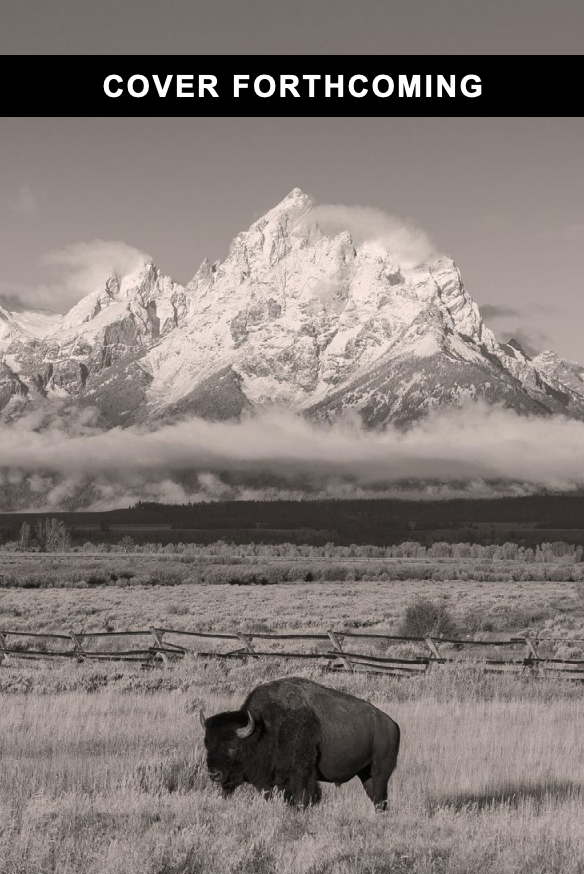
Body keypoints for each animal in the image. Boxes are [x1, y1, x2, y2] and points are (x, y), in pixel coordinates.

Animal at [199, 676, 400, 809]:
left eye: (232, 747)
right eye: (207, 744)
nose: (214, 774)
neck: (265, 728)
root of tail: (392, 724)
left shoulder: (301, 775)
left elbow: (302, 799)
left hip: (380, 772)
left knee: (380, 798)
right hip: (365, 774)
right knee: (376, 799)